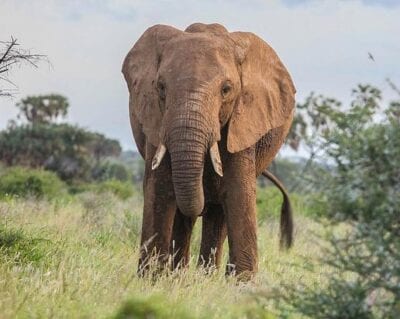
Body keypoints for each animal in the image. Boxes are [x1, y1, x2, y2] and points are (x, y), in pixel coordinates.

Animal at [122, 22, 296, 278]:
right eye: (161, 87)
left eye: (226, 89)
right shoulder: (155, 123)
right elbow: (159, 190)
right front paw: (151, 280)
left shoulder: (242, 126)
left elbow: (238, 195)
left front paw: (241, 285)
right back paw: (181, 276)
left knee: (217, 213)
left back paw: (205, 276)